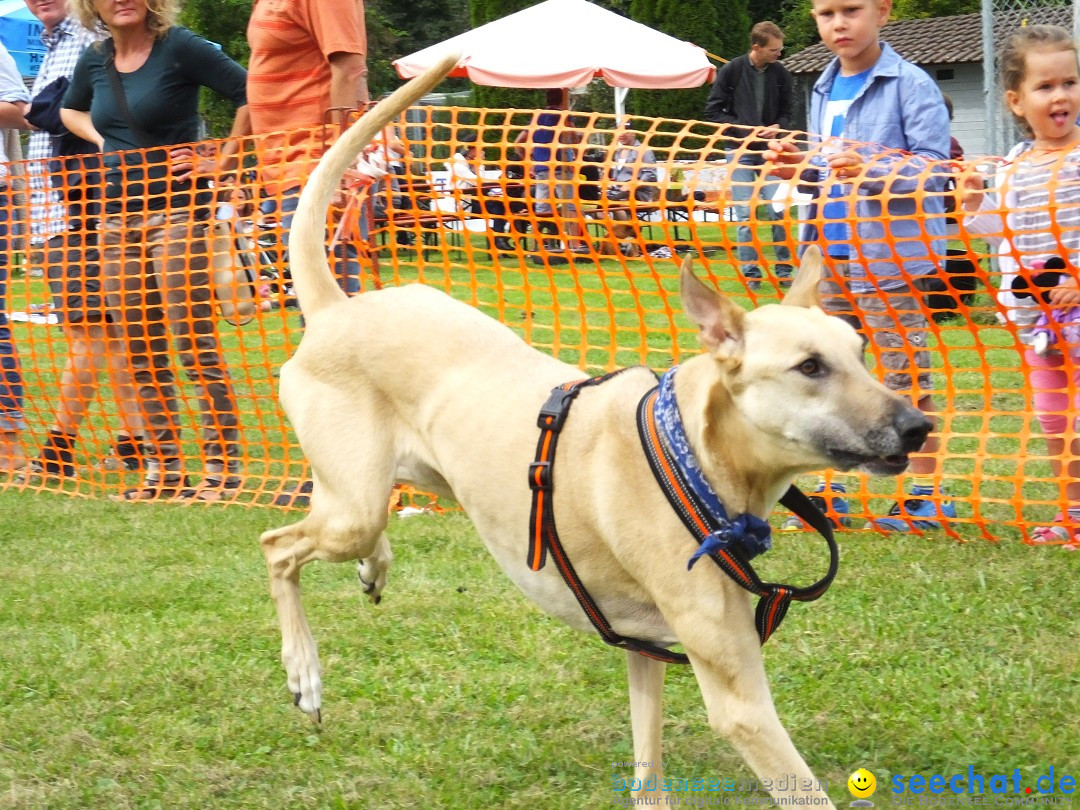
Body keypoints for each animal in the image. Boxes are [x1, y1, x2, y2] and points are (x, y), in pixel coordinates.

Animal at [259, 55, 928, 807]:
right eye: (810, 366)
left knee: (351, 527)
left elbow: (648, 775)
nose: (918, 427)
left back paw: (374, 569)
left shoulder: (648, 652)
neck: (694, 455)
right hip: (350, 506)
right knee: (279, 546)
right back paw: (305, 673)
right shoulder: (740, 698)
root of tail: (335, 307)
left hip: (375, 487)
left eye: (860, 352)